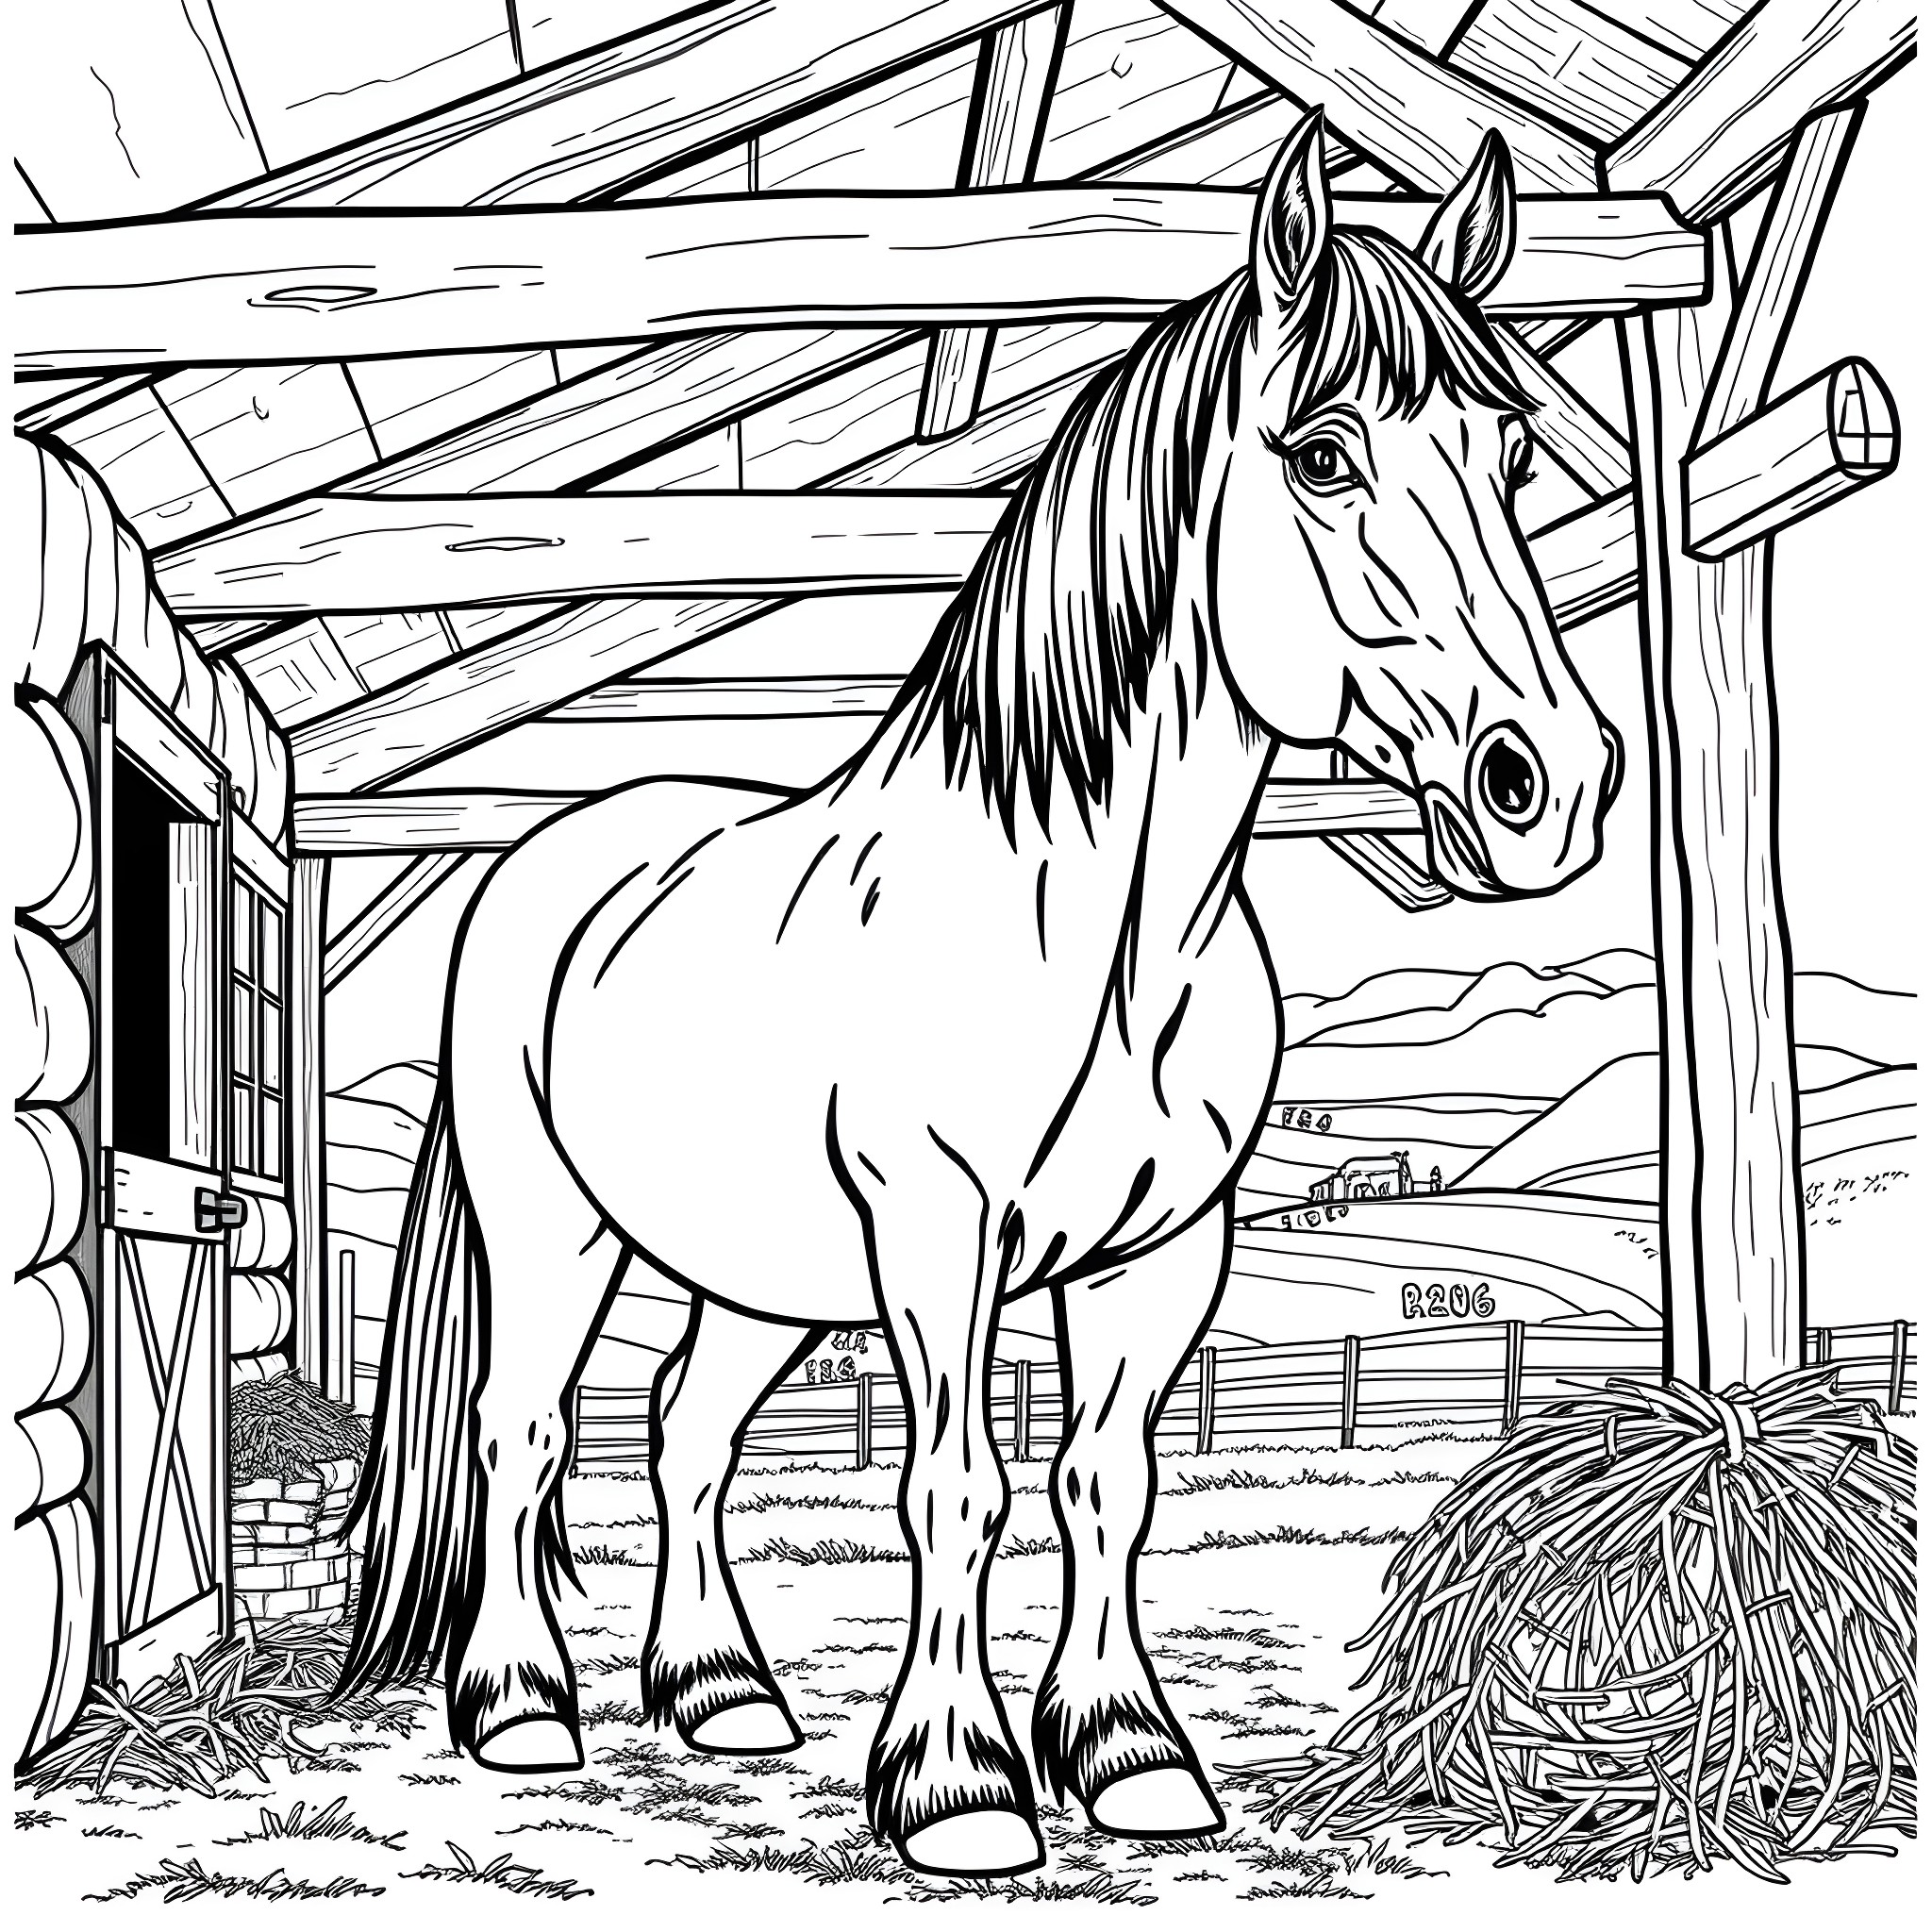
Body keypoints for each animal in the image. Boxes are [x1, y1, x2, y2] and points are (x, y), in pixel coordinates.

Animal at [339, 109, 1622, 1880]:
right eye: (1323, 455)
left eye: (1509, 459)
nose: (1547, 784)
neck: (1102, 937)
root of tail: (552, 852)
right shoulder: (939, 1235)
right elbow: (958, 1485)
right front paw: (961, 1787)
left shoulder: (1166, 1252)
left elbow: (1106, 1483)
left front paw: (1131, 1757)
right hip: (556, 1226)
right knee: (520, 1432)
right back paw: (524, 1710)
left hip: (760, 1272)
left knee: (683, 1429)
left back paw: (723, 1696)